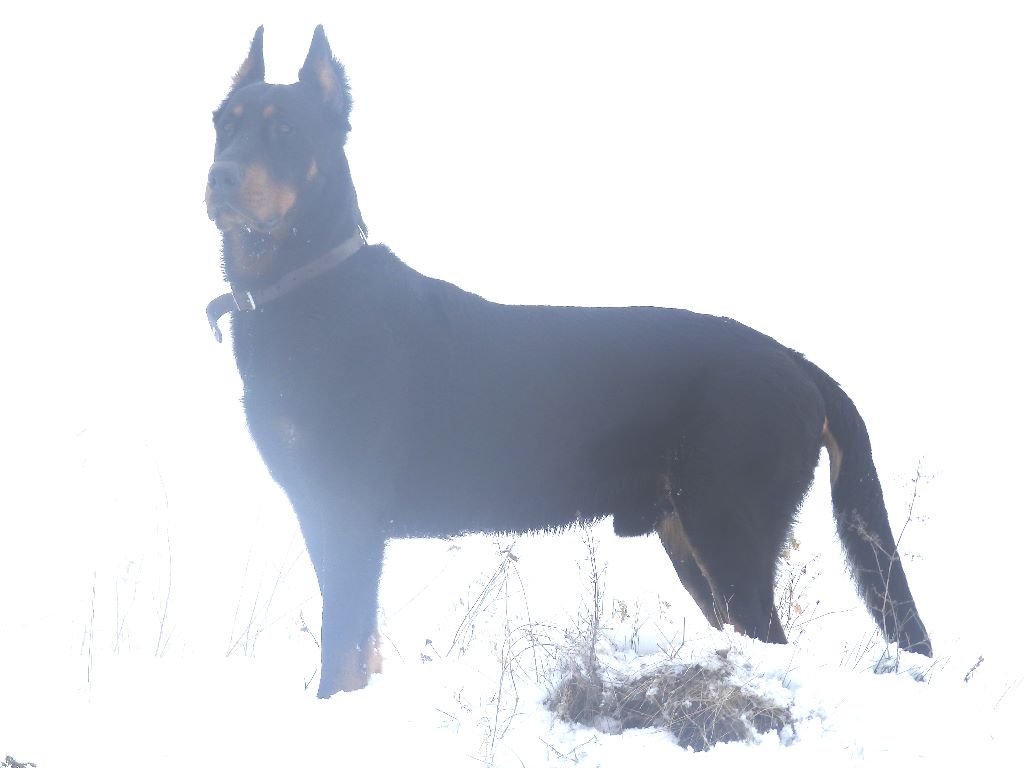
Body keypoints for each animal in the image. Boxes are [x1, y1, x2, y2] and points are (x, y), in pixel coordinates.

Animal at [205, 26, 932, 698]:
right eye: (223, 125)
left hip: (730, 526)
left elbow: (341, 650)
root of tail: (797, 361)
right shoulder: (325, 514)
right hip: (690, 537)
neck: (302, 288)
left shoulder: (350, 512)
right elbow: (360, 648)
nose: (220, 177)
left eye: (285, 129)